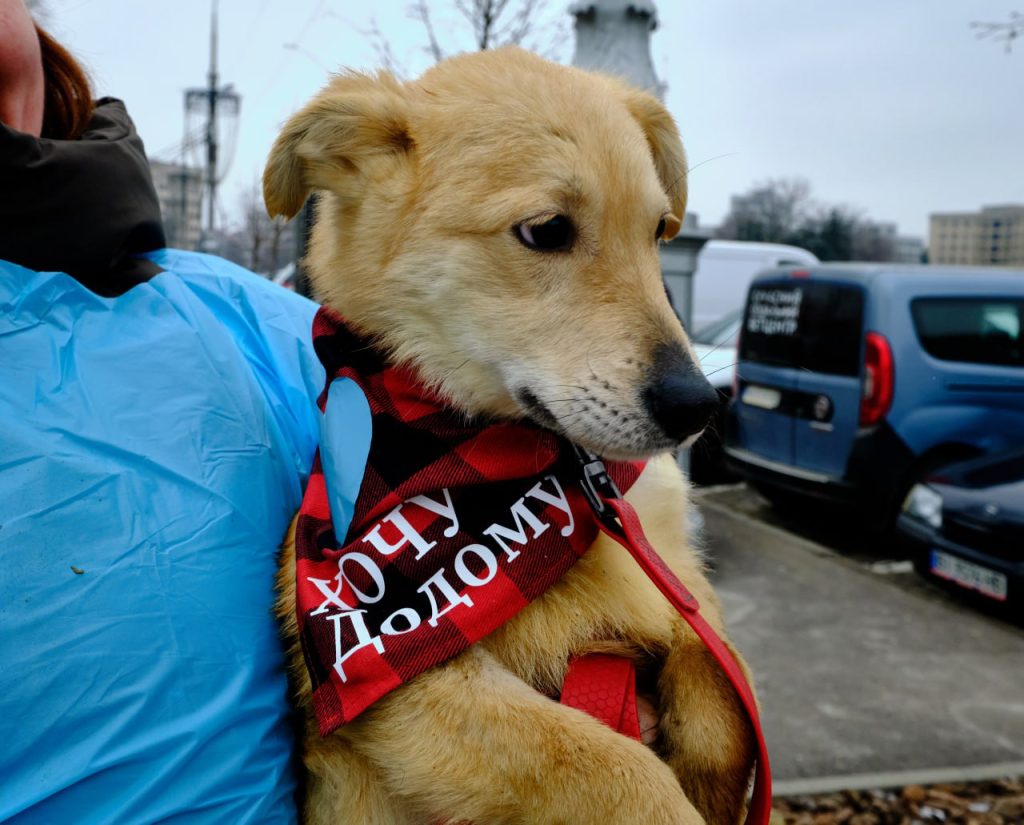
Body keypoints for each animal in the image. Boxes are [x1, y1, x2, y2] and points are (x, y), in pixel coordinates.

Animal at [264, 46, 761, 825]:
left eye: (658, 231)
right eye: (548, 230)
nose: (698, 406)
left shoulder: (674, 578)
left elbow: (722, 680)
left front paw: (713, 785)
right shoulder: (397, 679)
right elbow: (616, 768)